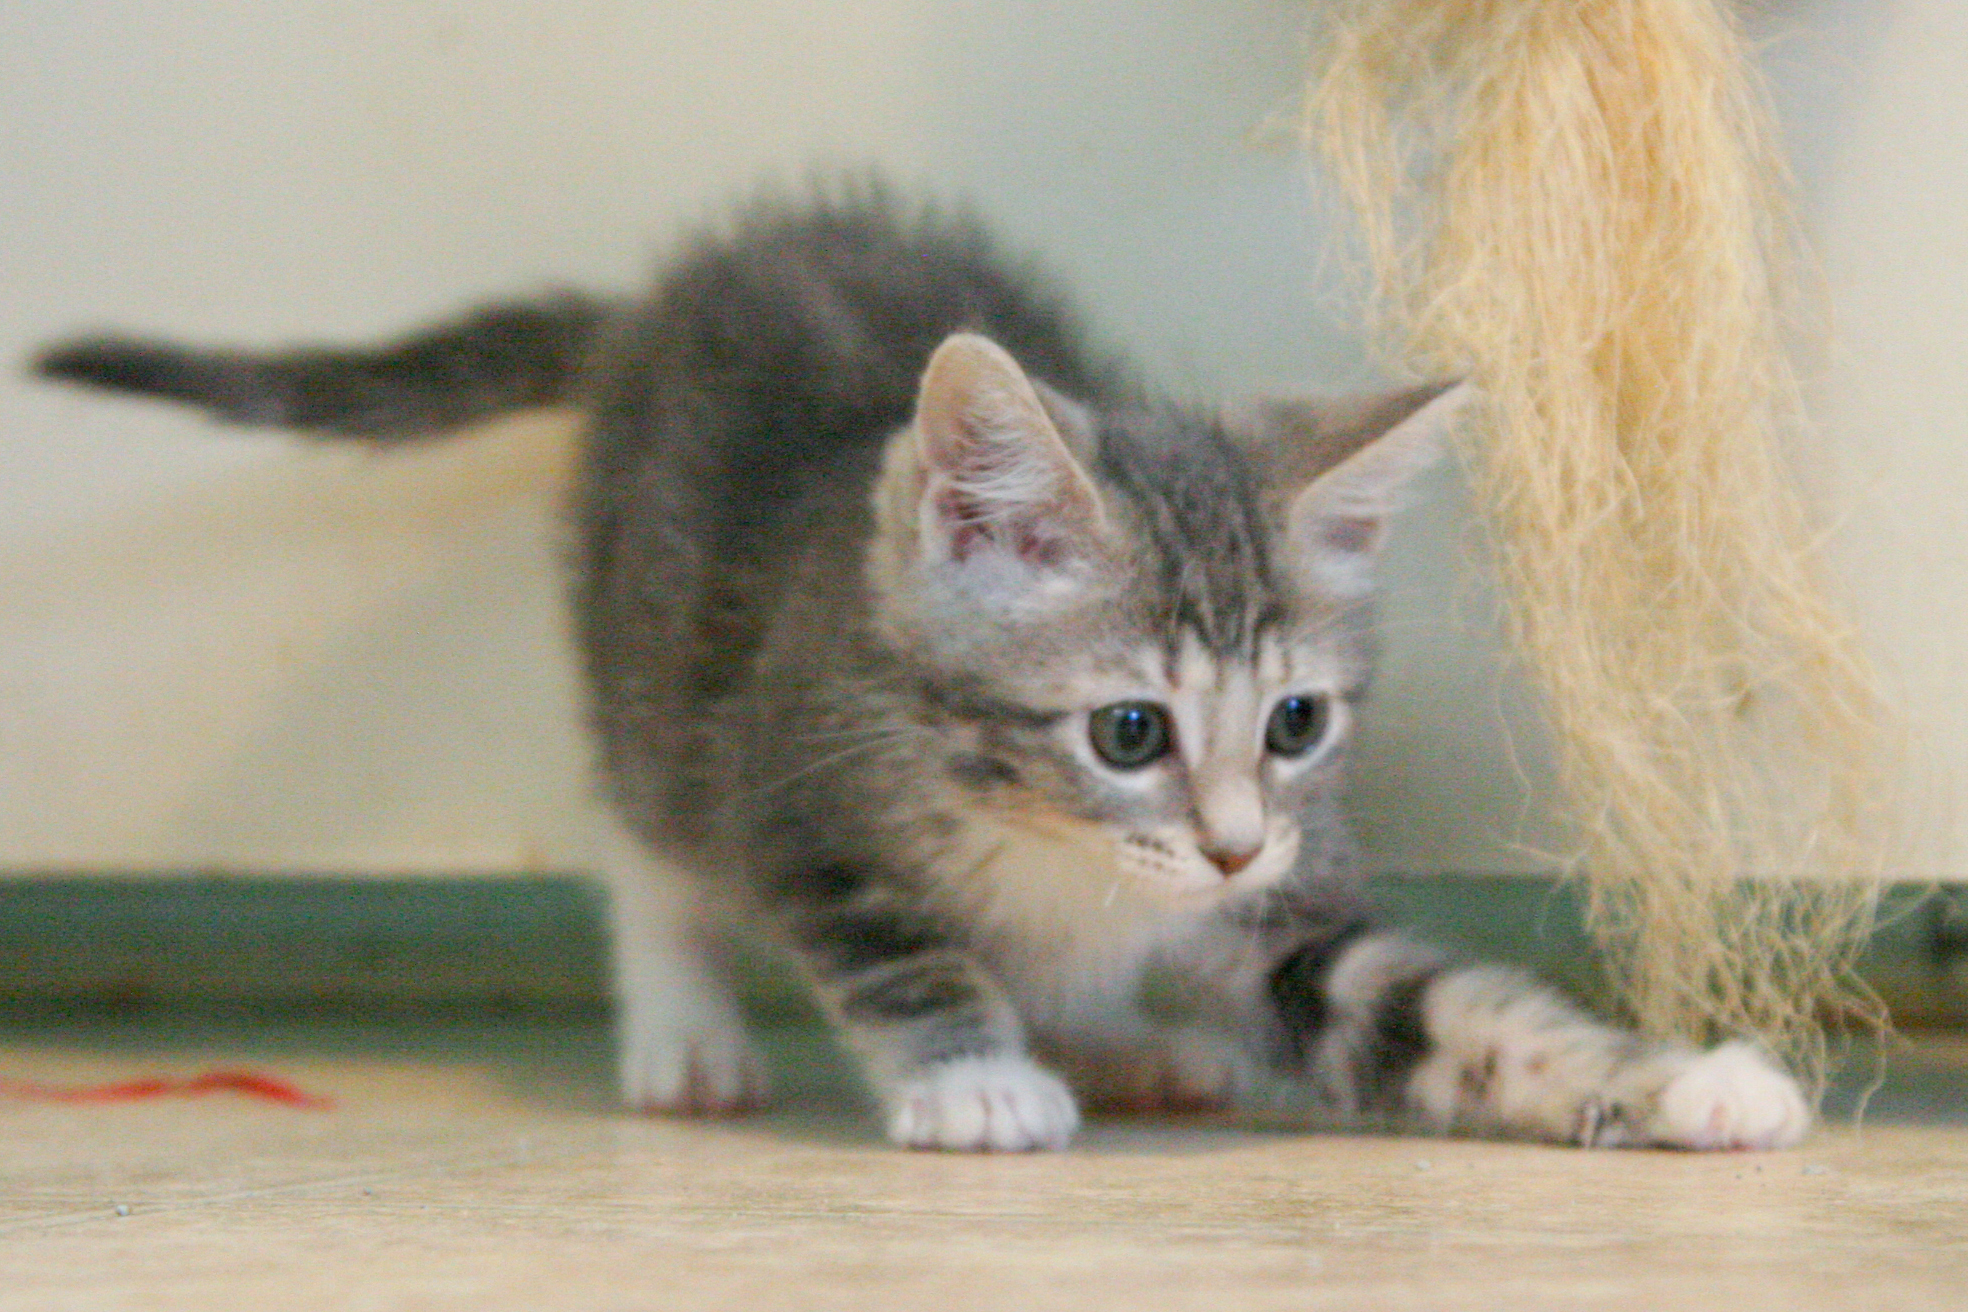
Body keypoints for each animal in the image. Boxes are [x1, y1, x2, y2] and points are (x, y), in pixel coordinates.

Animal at [38, 189, 1802, 1156]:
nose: (1236, 844)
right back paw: (691, 1039)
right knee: (642, 835)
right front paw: (973, 1078)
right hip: (657, 660)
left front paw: (1685, 1084)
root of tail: (648, 313)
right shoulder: (798, 792)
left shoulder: (1286, 914)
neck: (1062, 861)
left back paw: (1135, 1041)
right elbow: (895, 946)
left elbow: (1451, 1011)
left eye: (1297, 721)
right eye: (1130, 730)